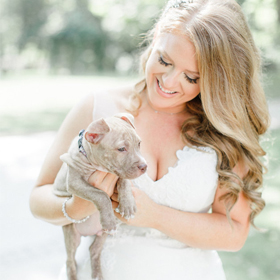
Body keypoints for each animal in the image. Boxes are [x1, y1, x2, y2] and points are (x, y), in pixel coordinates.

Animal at [53, 112, 148, 278]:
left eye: (139, 144)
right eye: (121, 148)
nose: (144, 166)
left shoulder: (119, 172)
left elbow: (124, 181)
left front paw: (128, 205)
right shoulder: (74, 182)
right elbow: (100, 194)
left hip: (103, 234)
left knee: (94, 250)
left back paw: (97, 274)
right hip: (71, 233)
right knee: (70, 260)